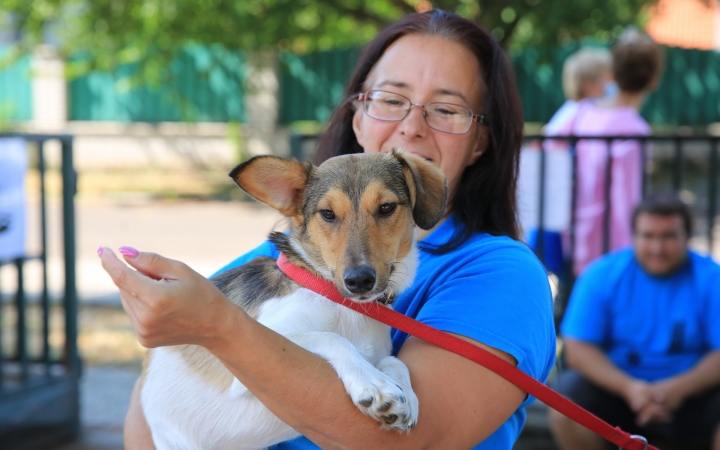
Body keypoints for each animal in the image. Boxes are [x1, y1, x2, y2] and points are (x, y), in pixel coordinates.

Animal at [139, 151, 448, 450]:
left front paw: (406, 392)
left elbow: (394, 361)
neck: (340, 302)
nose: (359, 280)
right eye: (327, 213)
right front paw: (373, 383)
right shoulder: (251, 348)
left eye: (386, 207)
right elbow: (331, 337)